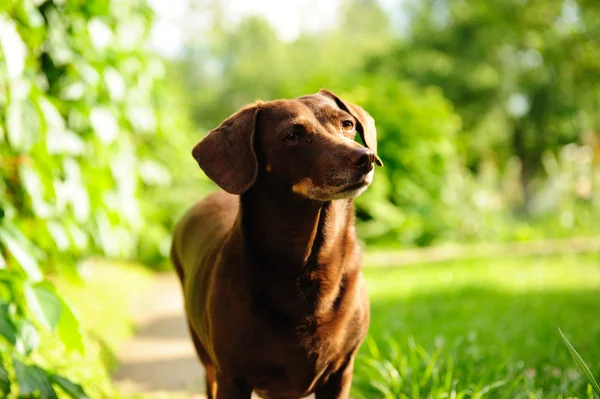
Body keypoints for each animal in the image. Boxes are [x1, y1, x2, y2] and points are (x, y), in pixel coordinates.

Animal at [171, 90, 382, 399]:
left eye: (347, 124)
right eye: (292, 135)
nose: (365, 158)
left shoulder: (341, 372)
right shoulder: (232, 377)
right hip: (207, 361)